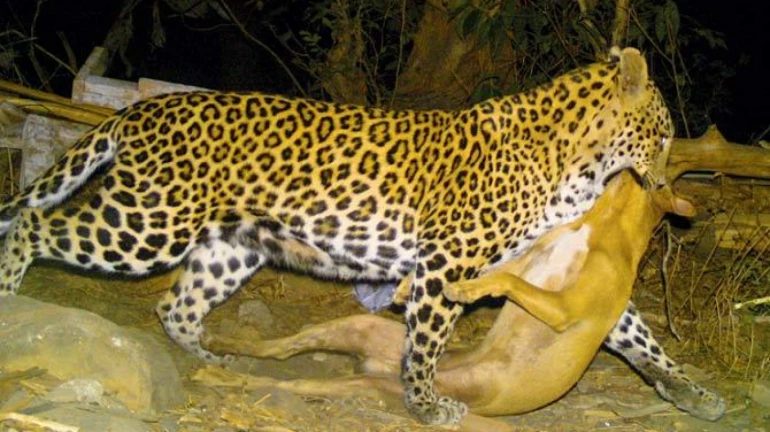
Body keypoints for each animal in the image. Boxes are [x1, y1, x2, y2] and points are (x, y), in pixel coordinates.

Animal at [0, 47, 688, 425]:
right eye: (662, 133)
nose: (663, 178)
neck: (583, 167)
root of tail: (140, 107)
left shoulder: (543, 267)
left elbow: (630, 326)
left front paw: (684, 386)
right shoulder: (444, 263)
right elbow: (427, 341)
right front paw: (426, 404)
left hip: (230, 248)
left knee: (177, 305)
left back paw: (210, 359)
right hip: (149, 224)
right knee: (34, 223)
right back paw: (10, 293)